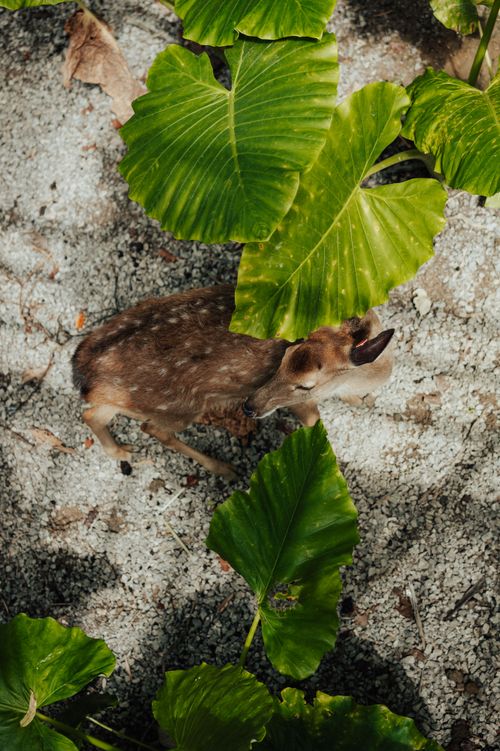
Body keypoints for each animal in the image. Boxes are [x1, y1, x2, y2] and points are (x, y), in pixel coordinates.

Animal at [72, 284, 394, 480]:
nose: (249, 407)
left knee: (92, 413)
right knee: (152, 428)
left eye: (306, 383)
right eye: (284, 355)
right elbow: (315, 422)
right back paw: (224, 468)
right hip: (178, 406)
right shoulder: (300, 405)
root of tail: (83, 367)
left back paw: (121, 451)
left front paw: (366, 402)